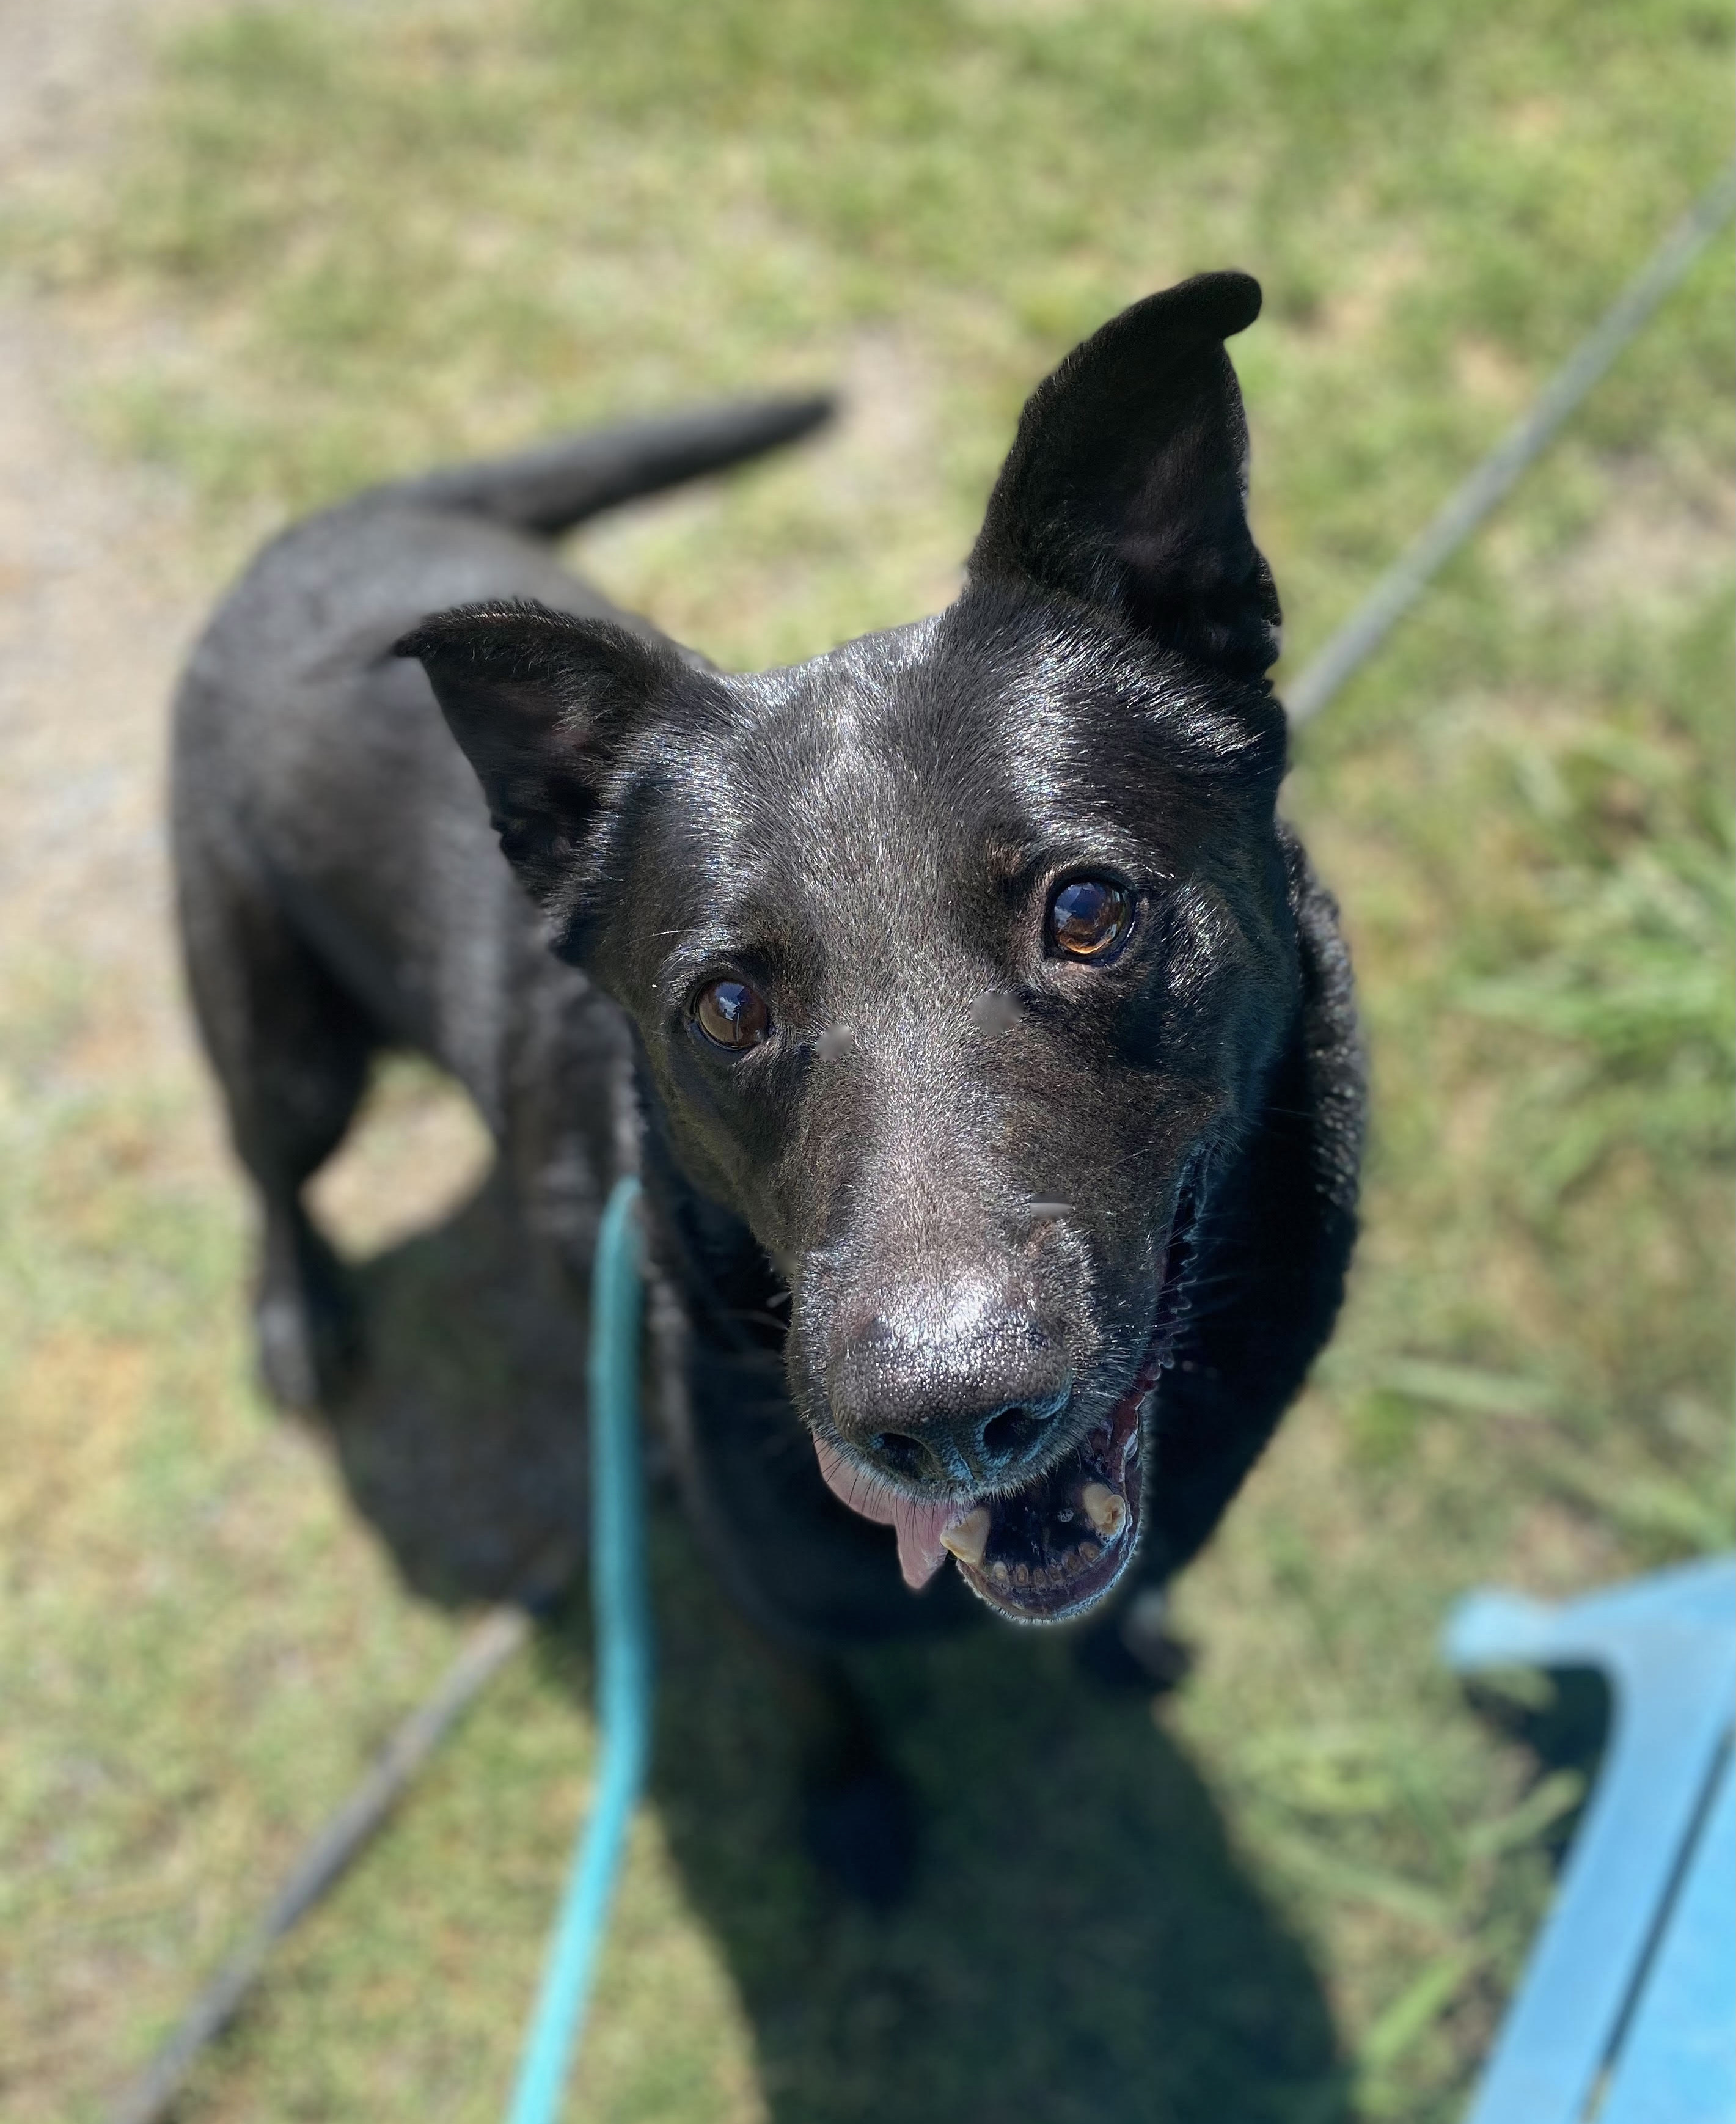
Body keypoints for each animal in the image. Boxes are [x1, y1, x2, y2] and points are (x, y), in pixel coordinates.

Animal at [179, 278, 1368, 1894]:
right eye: (728, 1005)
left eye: (1083, 911)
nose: (946, 1418)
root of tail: (336, 520)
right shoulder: (757, 1585)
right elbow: (819, 1689)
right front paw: (853, 1811)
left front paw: (1128, 1641)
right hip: (291, 1048)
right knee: (268, 1165)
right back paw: (299, 1312)